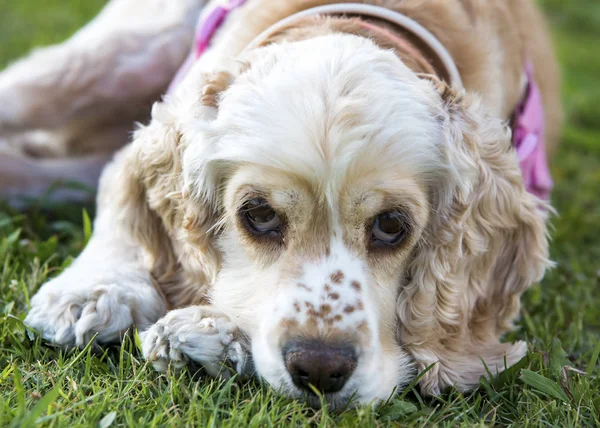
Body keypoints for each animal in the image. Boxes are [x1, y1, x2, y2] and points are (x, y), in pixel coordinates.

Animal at [4, 0, 564, 408]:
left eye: (391, 225)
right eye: (259, 215)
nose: (319, 369)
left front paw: (204, 333)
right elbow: (119, 196)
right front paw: (94, 291)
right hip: (123, 53)